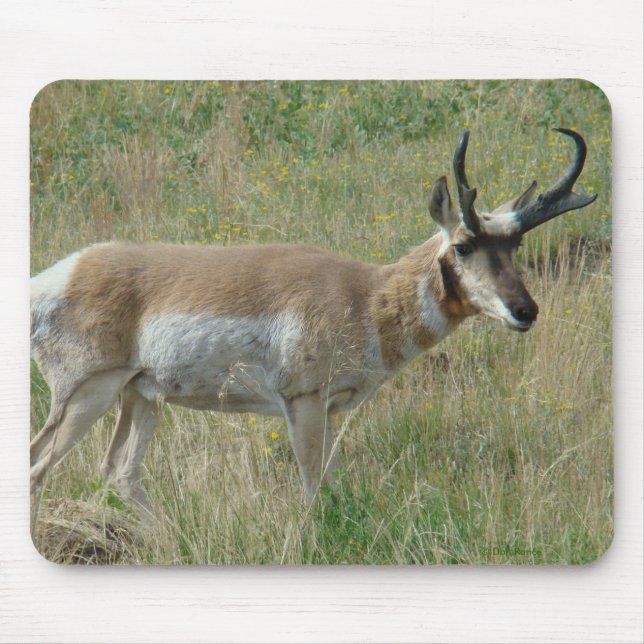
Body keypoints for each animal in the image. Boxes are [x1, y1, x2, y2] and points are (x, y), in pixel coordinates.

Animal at [30, 128, 596, 531]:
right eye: (463, 245)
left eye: (515, 245)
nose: (525, 311)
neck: (365, 296)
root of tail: (58, 274)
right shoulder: (303, 402)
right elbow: (312, 489)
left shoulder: (328, 410)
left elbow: (331, 483)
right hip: (87, 395)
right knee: (38, 464)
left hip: (142, 396)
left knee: (120, 471)